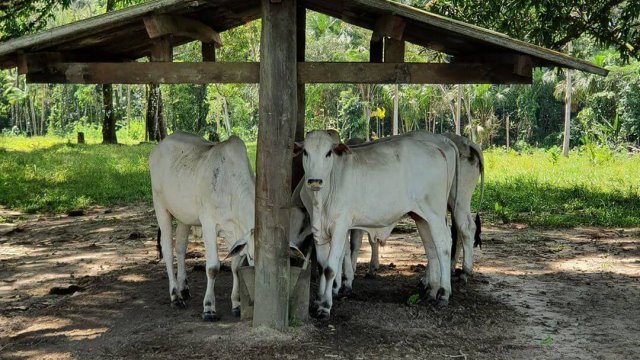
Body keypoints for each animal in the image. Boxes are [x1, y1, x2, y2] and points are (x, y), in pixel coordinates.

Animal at [149, 131, 255, 320]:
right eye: (251, 256)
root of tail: (159, 146)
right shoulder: (209, 224)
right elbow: (213, 267)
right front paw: (209, 307)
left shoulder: (234, 233)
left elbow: (235, 266)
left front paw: (236, 304)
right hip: (160, 205)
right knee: (167, 249)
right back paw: (175, 296)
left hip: (184, 216)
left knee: (180, 247)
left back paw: (184, 288)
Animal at [296, 129, 460, 318]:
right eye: (305, 152)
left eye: (328, 153)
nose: (315, 181)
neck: (322, 199)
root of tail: (438, 148)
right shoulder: (319, 231)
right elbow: (322, 266)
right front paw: (319, 300)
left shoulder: (340, 227)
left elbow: (330, 268)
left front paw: (325, 306)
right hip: (421, 217)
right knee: (431, 248)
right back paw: (431, 291)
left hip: (435, 213)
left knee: (443, 245)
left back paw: (444, 293)